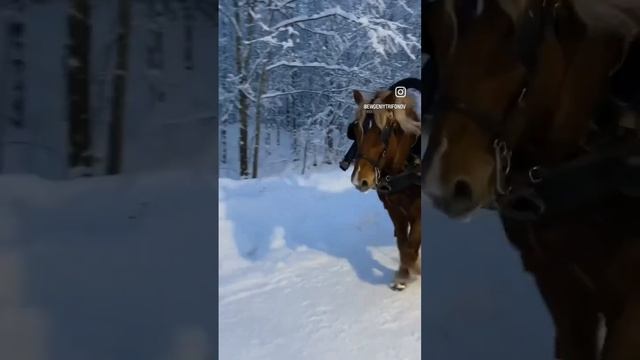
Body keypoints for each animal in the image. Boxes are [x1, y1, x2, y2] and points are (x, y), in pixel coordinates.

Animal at [348, 86, 422, 290]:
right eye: (355, 129)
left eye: (382, 131)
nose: (359, 180)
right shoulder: (394, 209)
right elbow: (403, 242)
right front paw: (403, 273)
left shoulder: (419, 209)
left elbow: (413, 242)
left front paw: (410, 272)